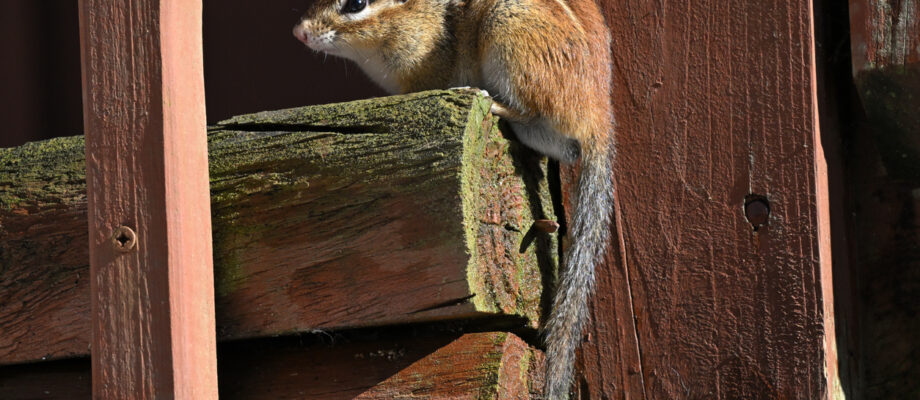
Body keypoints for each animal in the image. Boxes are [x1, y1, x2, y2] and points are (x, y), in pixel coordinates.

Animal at [293, 0, 614, 396]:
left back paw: (491, 101)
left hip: (510, 38)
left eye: (356, 4)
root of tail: (597, 117)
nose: (300, 32)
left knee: (529, 109)